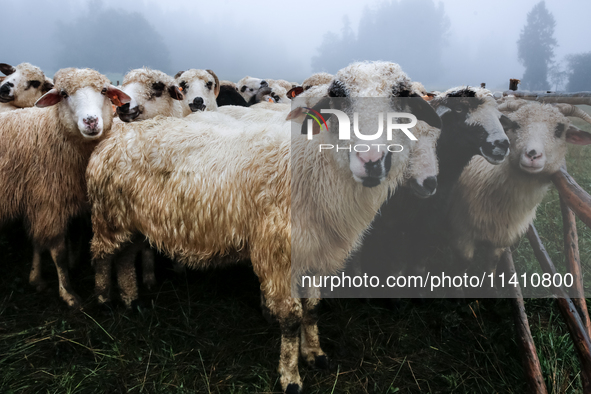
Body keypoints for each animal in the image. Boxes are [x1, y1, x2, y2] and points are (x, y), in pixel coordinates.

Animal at [0, 67, 131, 308]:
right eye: (63, 94)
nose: (91, 121)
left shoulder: (41, 202)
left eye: (104, 90)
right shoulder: (48, 201)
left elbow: (39, 242)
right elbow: (58, 253)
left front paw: (36, 278)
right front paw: (68, 293)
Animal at [86, 60, 440, 392]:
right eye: (338, 97)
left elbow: (312, 308)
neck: (313, 167)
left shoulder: (318, 252)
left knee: (125, 257)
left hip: (132, 220)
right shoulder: (279, 255)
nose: (372, 161)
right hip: (108, 216)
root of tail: (118, 133)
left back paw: (132, 300)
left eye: (402, 97)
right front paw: (291, 377)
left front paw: (315, 354)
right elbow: (292, 319)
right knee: (102, 256)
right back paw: (104, 302)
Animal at [346, 86, 512, 296]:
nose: (501, 144)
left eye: (498, 115)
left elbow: (419, 264)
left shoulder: (431, 220)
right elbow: (397, 263)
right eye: (459, 109)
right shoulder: (393, 223)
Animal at [448, 100, 591, 280]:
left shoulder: (502, 237)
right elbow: (463, 264)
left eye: (559, 130)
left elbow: (492, 263)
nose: (532, 155)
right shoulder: (461, 231)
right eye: (515, 125)